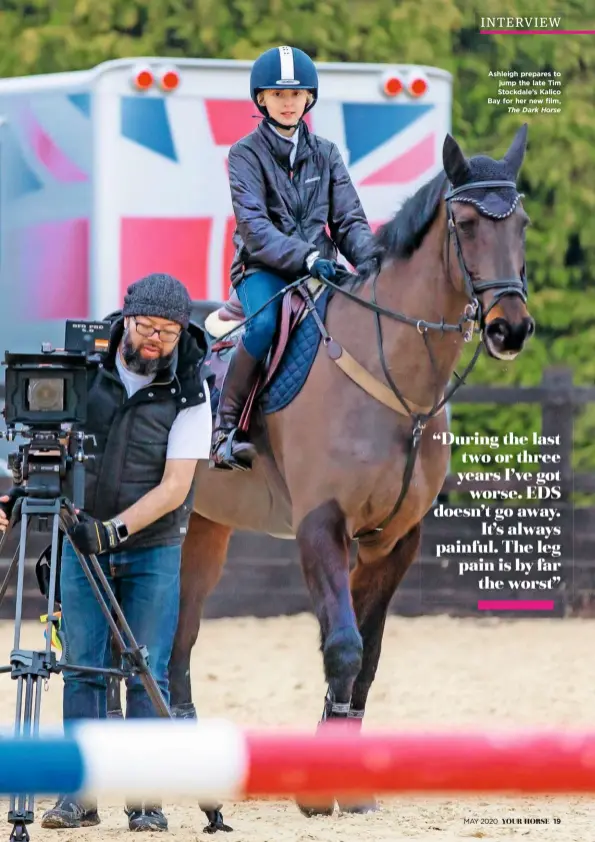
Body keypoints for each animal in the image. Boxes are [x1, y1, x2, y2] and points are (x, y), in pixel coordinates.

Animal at [109, 124, 536, 812]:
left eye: (520, 223)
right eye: (467, 222)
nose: (511, 328)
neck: (395, 385)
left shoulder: (394, 540)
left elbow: (369, 655)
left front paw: (352, 787)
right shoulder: (320, 526)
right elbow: (342, 646)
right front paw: (318, 789)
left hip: (201, 527)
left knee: (181, 632)